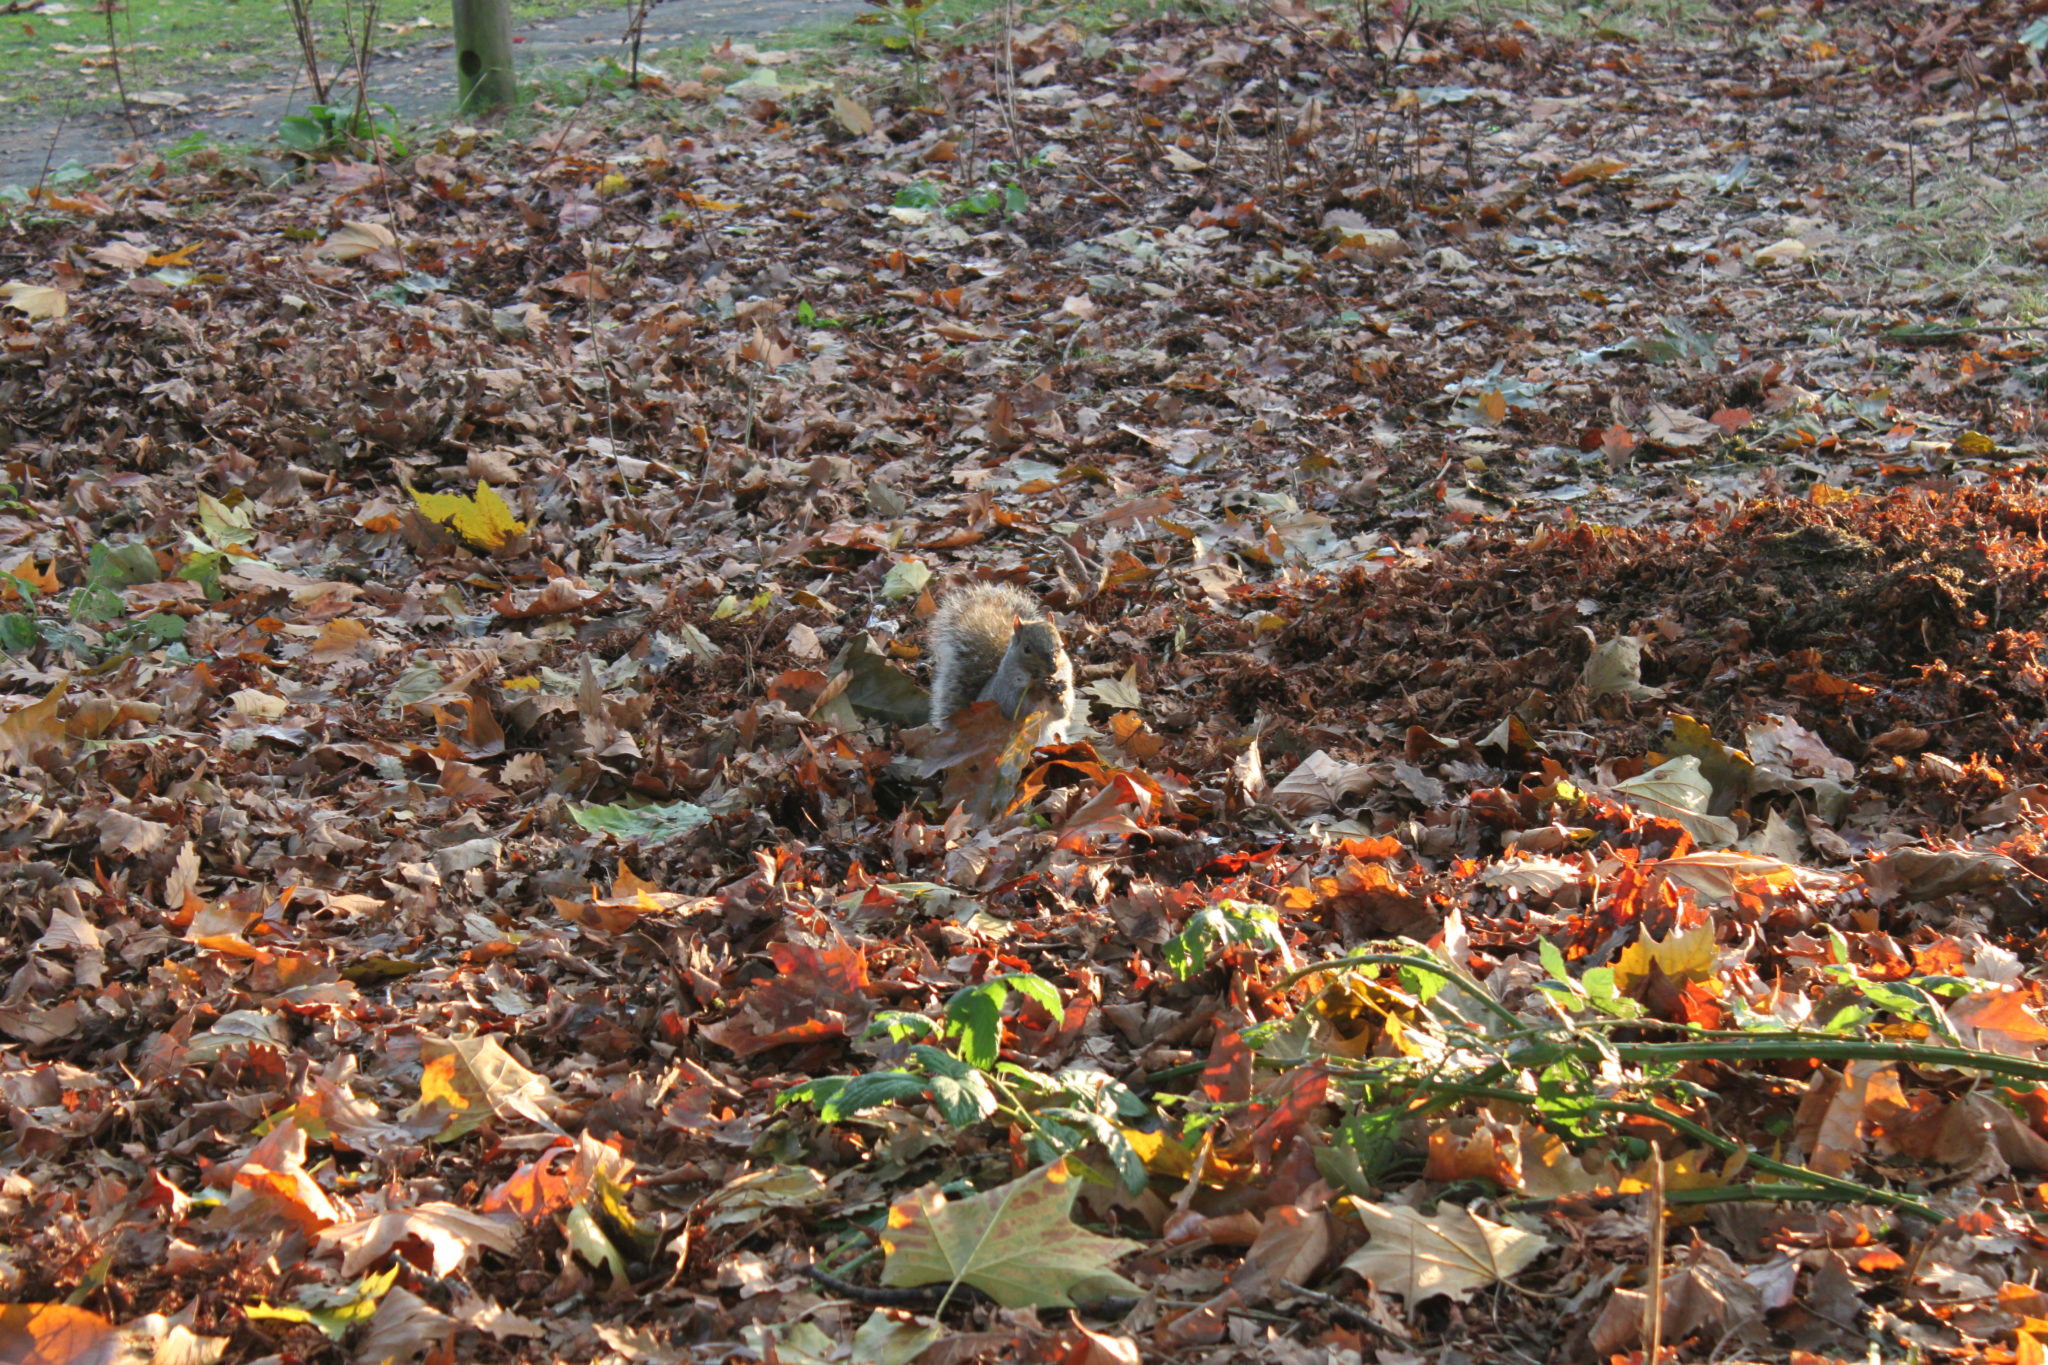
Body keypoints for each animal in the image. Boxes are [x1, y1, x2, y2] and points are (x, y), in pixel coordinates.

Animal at [933, 581, 1081, 740]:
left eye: (1061, 646)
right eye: (1026, 649)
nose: (1052, 669)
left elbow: (1062, 712)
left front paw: (1060, 689)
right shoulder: (1005, 690)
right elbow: (1017, 707)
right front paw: (1038, 688)